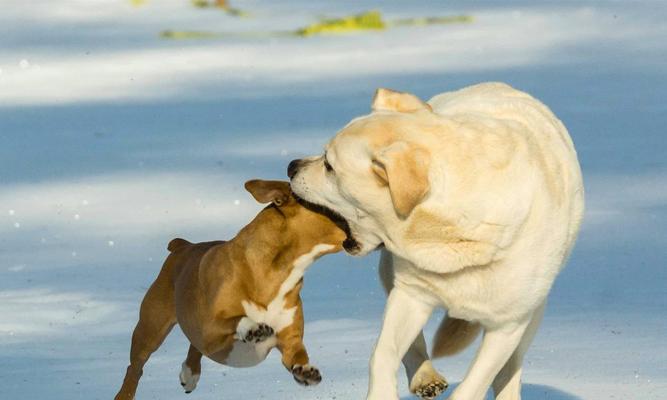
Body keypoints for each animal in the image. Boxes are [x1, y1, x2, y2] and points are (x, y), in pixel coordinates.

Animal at [113, 180, 344, 398]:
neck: (277, 273)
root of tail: (183, 245)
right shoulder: (208, 330)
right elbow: (232, 319)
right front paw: (253, 327)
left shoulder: (290, 340)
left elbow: (296, 355)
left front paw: (305, 370)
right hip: (151, 327)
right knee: (136, 367)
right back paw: (126, 392)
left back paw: (190, 374)